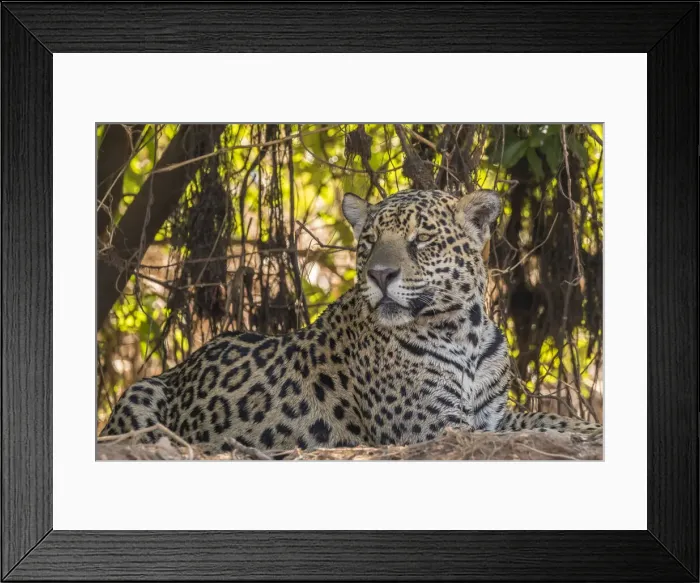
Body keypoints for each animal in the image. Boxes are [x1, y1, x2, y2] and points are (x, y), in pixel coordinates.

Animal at [100, 188, 601, 453]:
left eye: (421, 240)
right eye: (371, 241)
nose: (381, 274)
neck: (464, 333)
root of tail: (183, 366)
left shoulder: (492, 415)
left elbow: (547, 419)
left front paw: (590, 429)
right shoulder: (436, 427)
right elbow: (537, 427)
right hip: (142, 390)